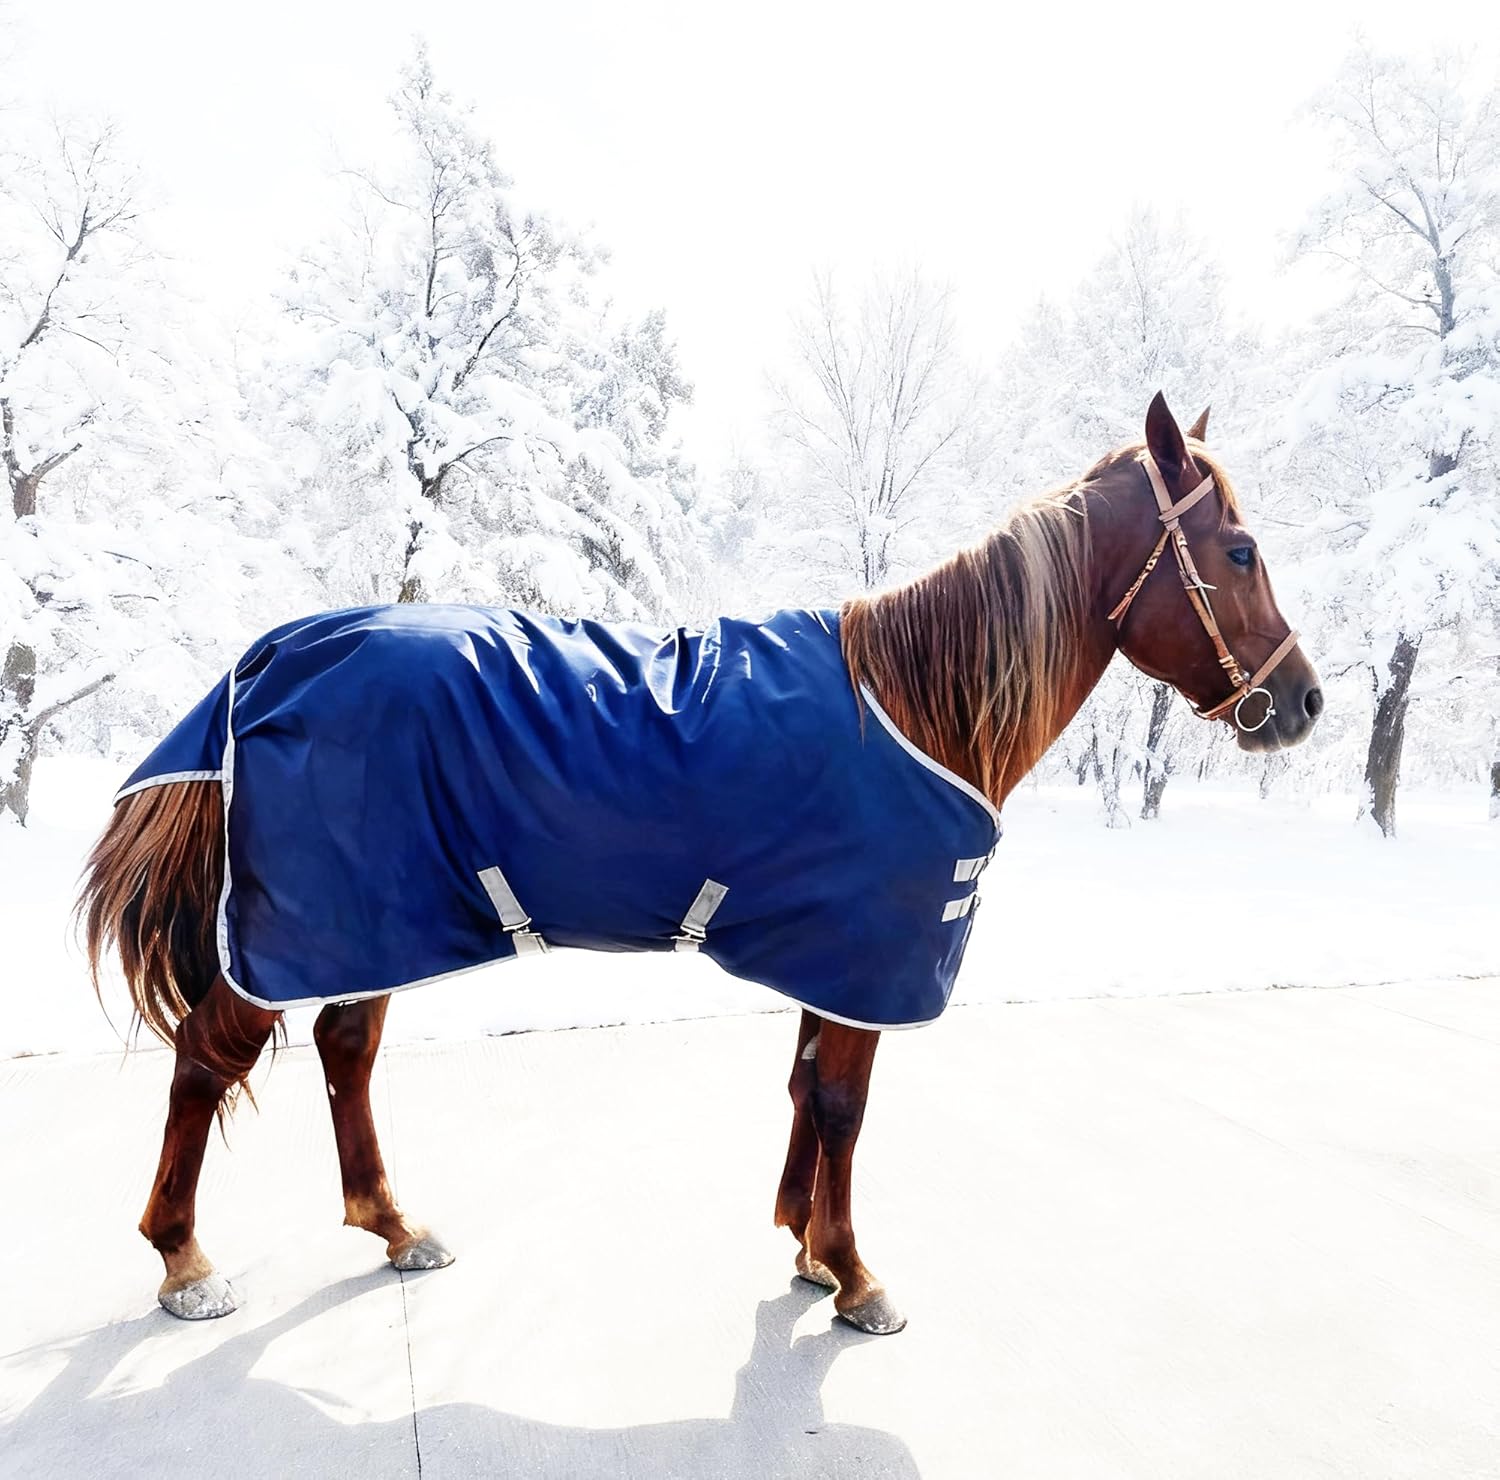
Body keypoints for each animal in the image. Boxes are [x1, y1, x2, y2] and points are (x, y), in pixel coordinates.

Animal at [78, 393, 1321, 1336]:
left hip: (376, 918)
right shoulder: (869, 955)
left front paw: (809, 1249)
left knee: (345, 1049)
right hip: (302, 928)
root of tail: (275, 652)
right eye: (1240, 549)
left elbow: (809, 1090)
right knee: (207, 1060)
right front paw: (856, 1275)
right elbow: (844, 1105)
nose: (1305, 702)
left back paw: (394, 1225)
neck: (917, 704)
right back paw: (185, 1262)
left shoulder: (832, 958)